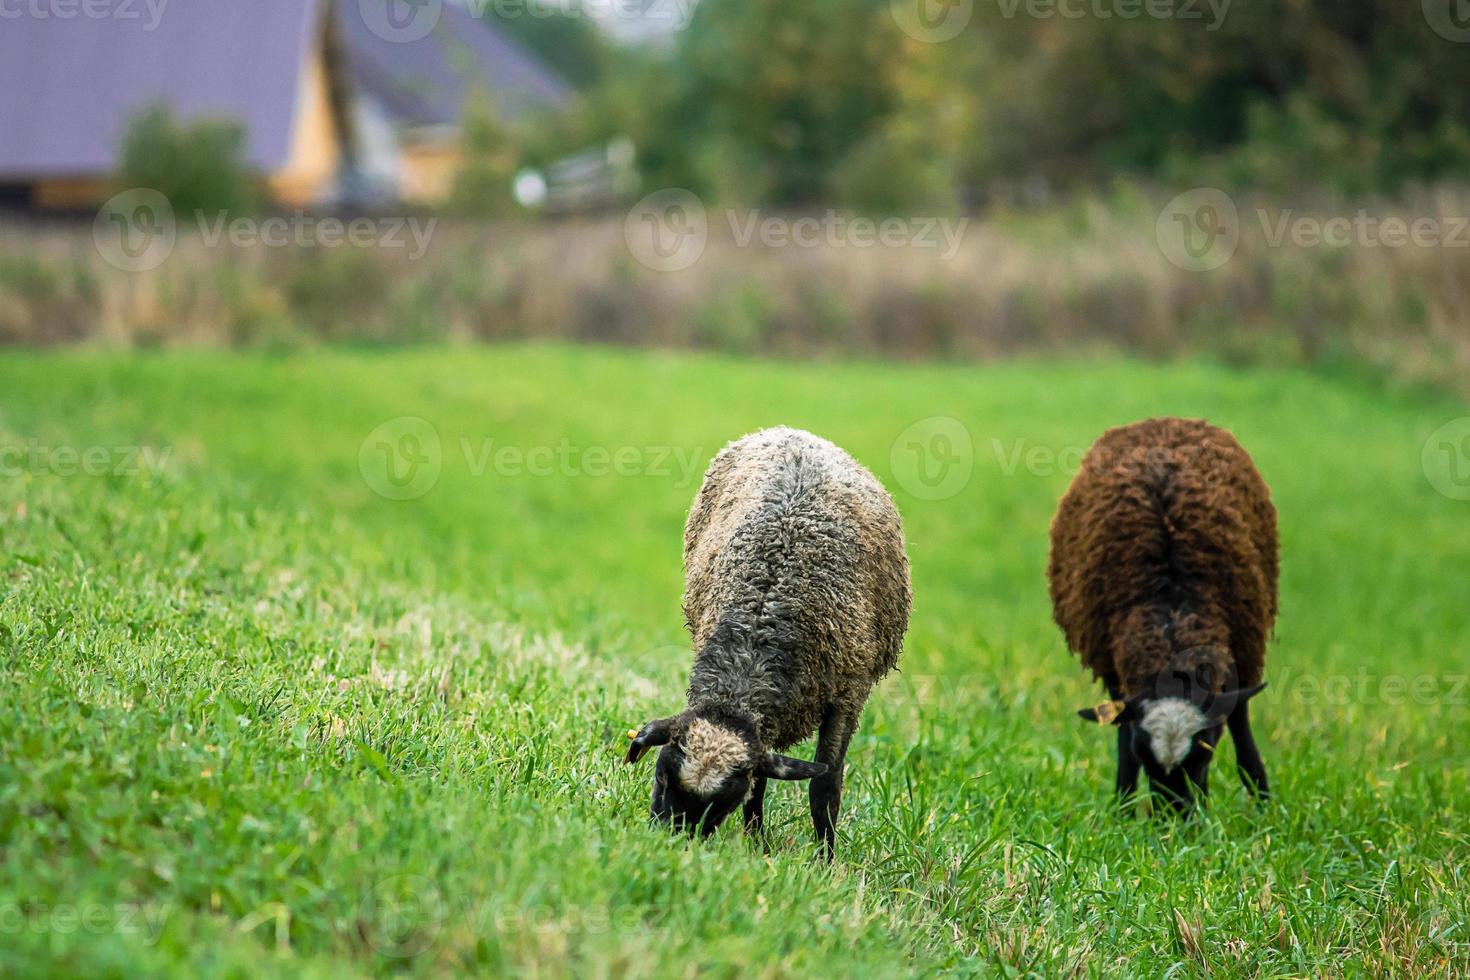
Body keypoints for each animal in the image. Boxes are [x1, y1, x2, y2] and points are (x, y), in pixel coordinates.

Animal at [626, 426, 911, 852]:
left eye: (724, 801)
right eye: (661, 776)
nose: (671, 845)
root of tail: (795, 431)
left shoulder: (847, 696)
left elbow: (825, 786)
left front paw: (825, 859)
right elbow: (762, 779)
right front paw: (756, 842)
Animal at [1046, 417, 1275, 811]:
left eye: (1204, 751)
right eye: (1145, 754)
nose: (1173, 818)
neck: (1172, 615)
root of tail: (1160, 422)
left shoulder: (1242, 654)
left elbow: (1241, 729)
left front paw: (1263, 804)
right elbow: (1123, 742)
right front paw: (1122, 809)